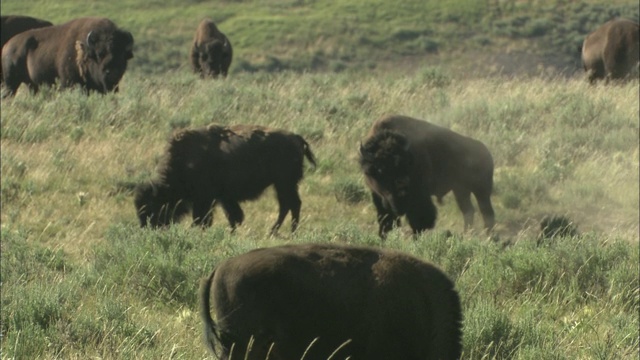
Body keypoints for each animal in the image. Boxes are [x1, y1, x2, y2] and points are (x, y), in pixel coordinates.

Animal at [1, 16, 133, 96]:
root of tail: (7, 46)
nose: (113, 73)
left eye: (123, 56)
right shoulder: (69, 84)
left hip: (31, 84)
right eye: (100, 54)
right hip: (10, 83)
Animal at [133, 124, 318, 233]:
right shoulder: (224, 198)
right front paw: (231, 232)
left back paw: (281, 231)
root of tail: (297, 138)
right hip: (283, 184)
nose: (147, 229)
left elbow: (203, 219)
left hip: (284, 183)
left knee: (291, 204)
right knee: (289, 205)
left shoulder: (206, 199)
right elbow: (234, 216)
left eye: (153, 207)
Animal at [360, 115, 496, 239]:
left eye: (405, 165)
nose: (401, 194)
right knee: (468, 210)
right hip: (461, 191)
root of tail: (486, 152)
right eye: (380, 169)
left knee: (486, 211)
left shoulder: (419, 195)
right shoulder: (378, 196)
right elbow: (385, 218)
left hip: (481, 191)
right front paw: (384, 235)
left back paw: (490, 237)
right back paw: (468, 234)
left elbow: (420, 217)